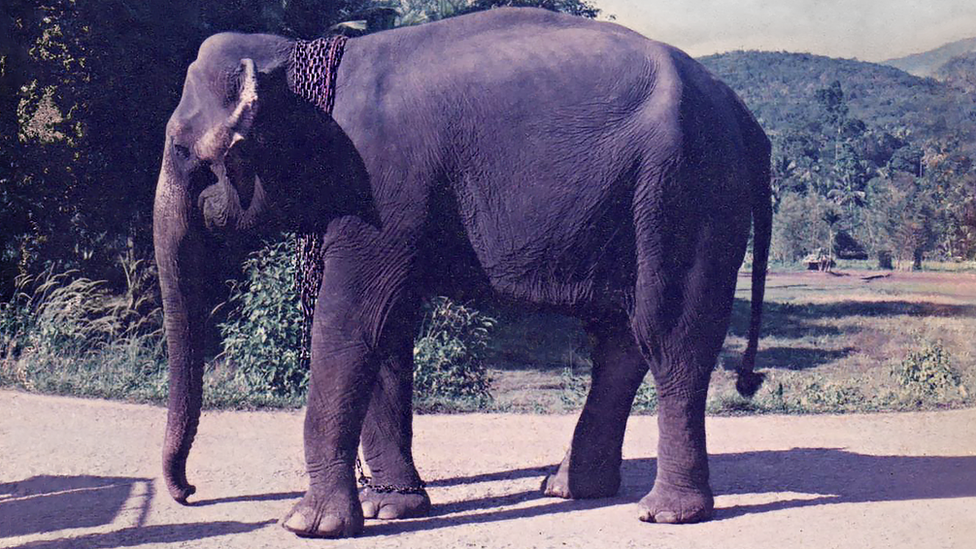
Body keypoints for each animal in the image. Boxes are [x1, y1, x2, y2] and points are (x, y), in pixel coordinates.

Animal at [153, 7, 771, 539]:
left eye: (181, 149)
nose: (190, 492)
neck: (303, 55)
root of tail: (739, 110)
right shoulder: (390, 202)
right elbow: (387, 329)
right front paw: (390, 508)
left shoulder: (382, 186)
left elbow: (349, 320)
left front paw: (309, 525)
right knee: (621, 339)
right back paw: (569, 488)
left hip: (686, 192)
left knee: (670, 336)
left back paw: (665, 513)